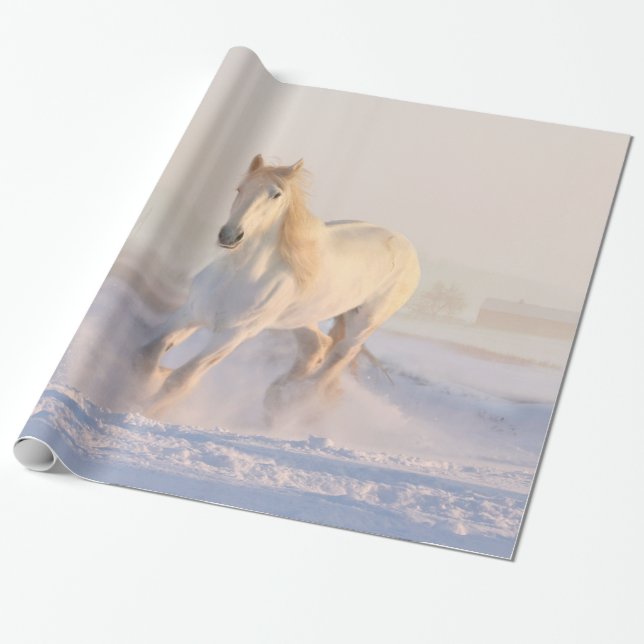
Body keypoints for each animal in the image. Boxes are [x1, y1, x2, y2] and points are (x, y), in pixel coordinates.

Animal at [139, 154, 421, 417]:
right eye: (239, 188)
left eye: (276, 195)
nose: (230, 236)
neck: (237, 275)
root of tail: (408, 248)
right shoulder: (190, 313)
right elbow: (149, 353)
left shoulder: (233, 335)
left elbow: (181, 378)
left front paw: (145, 410)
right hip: (300, 318)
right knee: (316, 347)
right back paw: (276, 398)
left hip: (362, 323)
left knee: (338, 357)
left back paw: (295, 403)